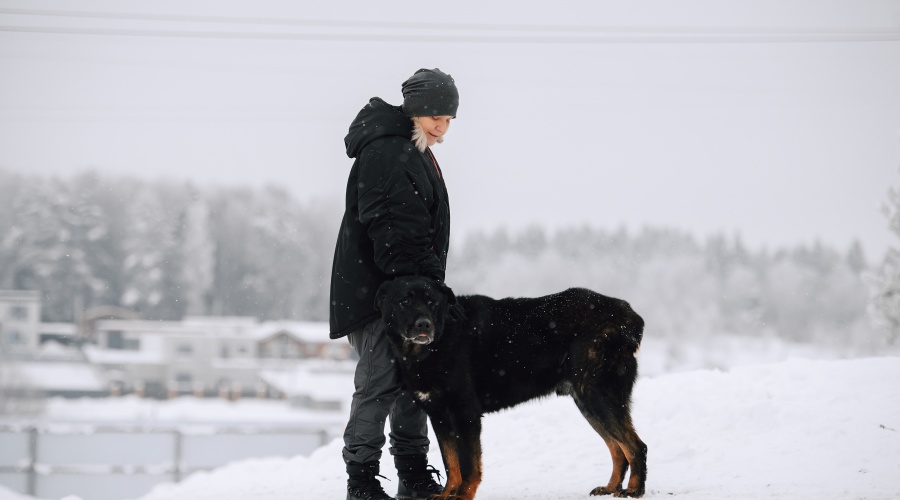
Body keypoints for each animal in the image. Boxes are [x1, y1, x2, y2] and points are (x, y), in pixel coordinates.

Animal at [375, 275, 647, 499]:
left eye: (432, 302)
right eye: (404, 303)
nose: (424, 325)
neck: (439, 341)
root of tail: (629, 316)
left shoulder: (465, 413)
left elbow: (468, 465)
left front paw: (462, 496)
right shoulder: (439, 415)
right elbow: (451, 462)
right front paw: (448, 494)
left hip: (596, 396)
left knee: (635, 446)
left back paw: (634, 490)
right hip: (588, 403)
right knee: (618, 449)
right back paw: (611, 487)